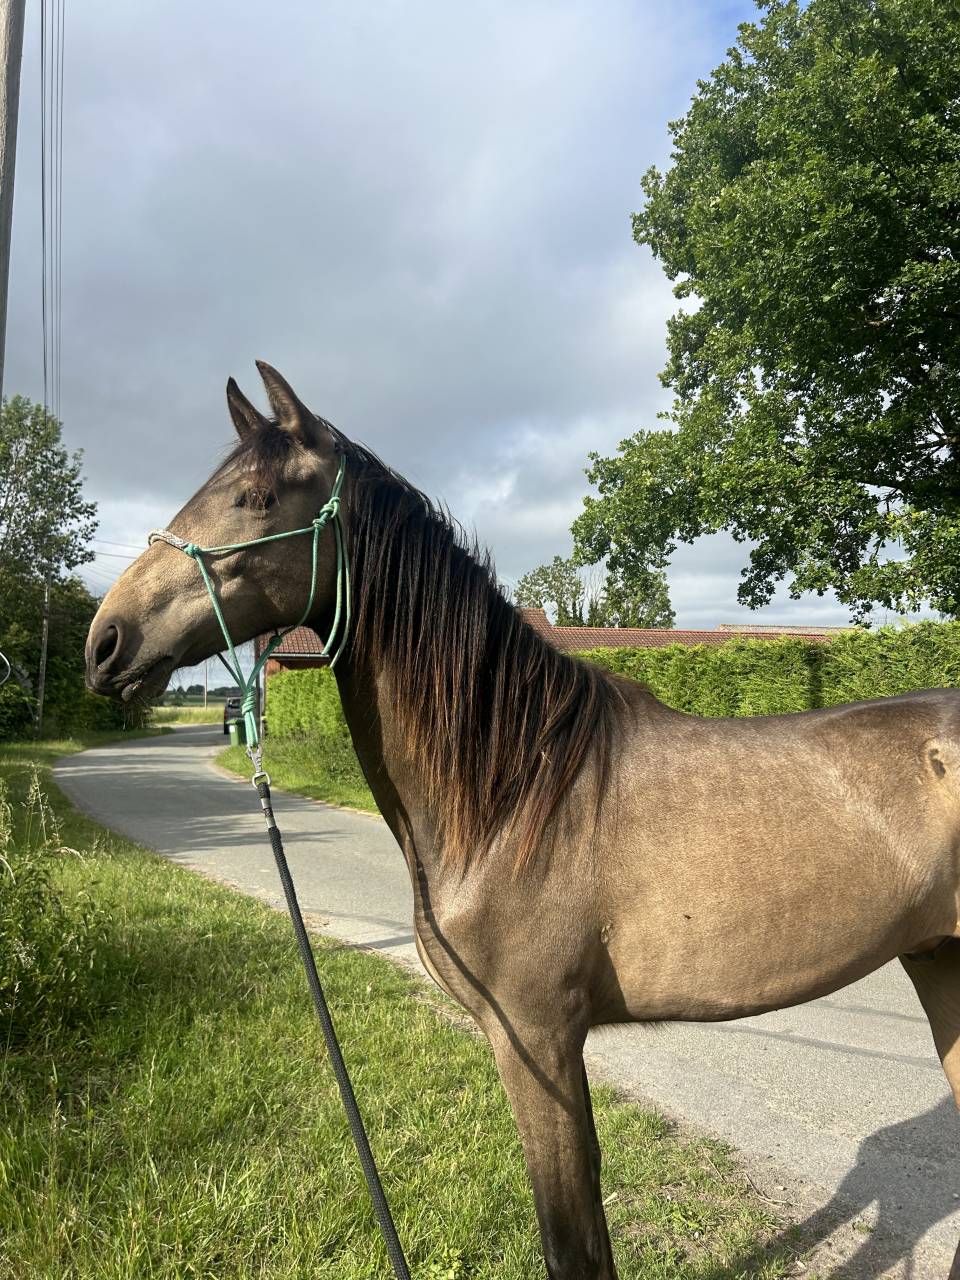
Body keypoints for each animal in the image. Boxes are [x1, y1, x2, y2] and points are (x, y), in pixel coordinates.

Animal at [86, 362, 960, 1279]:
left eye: (253, 497)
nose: (106, 643)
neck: (512, 792)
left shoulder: (536, 1042)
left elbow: (570, 1244)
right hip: (941, 964)